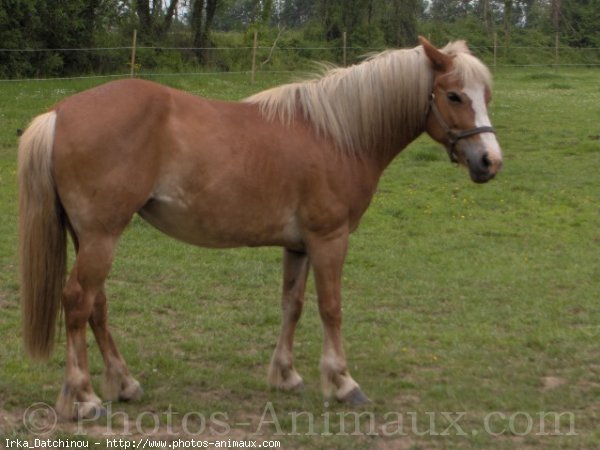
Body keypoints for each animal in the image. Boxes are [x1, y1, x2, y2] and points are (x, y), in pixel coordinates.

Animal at [16, 37, 502, 420]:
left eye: (487, 94)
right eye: (454, 96)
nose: (489, 162)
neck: (337, 134)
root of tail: (59, 112)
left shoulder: (300, 245)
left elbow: (293, 305)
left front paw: (286, 375)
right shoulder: (330, 239)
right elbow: (331, 307)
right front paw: (343, 382)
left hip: (91, 237)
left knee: (96, 306)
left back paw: (125, 383)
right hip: (101, 238)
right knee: (77, 302)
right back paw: (83, 397)